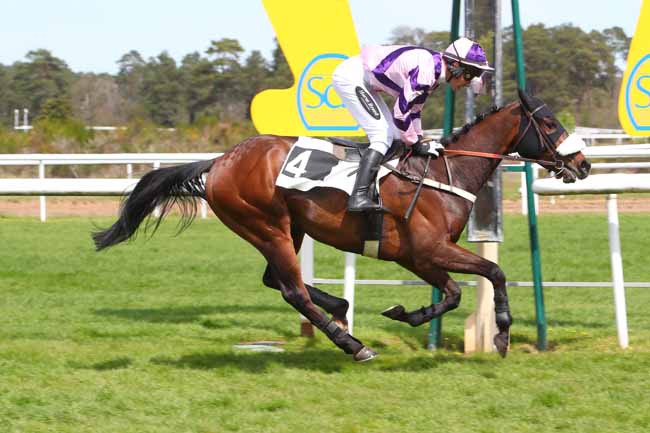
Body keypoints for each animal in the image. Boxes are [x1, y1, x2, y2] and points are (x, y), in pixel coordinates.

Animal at [93, 89, 591, 362]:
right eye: (549, 123)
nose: (583, 164)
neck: (442, 175)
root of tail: (219, 161)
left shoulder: (418, 257)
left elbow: (451, 293)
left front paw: (404, 313)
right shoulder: (428, 250)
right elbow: (493, 273)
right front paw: (502, 333)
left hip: (287, 228)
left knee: (277, 281)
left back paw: (339, 308)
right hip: (267, 225)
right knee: (292, 289)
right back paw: (350, 342)